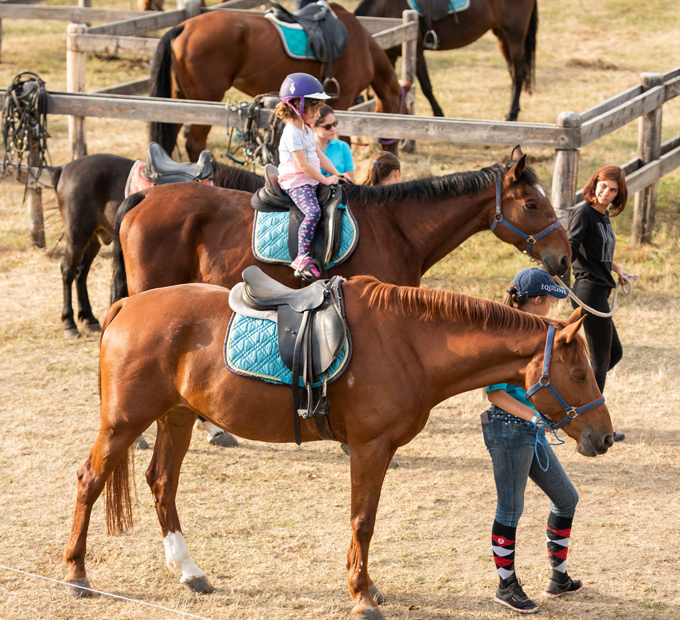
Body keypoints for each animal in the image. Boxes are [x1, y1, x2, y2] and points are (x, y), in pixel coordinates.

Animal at [50, 153, 263, 338]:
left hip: (94, 238)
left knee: (81, 272)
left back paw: (89, 318)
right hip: (78, 237)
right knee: (68, 271)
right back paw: (69, 322)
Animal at [63, 277, 613, 617]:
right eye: (579, 373)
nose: (605, 436)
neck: (410, 343)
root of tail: (128, 304)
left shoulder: (376, 450)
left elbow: (364, 522)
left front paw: (366, 586)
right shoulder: (370, 448)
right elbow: (362, 521)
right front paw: (362, 596)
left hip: (176, 417)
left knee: (162, 484)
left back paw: (189, 571)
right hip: (123, 424)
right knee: (90, 480)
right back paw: (76, 574)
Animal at [148, 4, 408, 160]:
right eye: (404, 111)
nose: (393, 153)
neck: (362, 45)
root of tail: (183, 26)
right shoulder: (341, 102)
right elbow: (340, 141)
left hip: (180, 99)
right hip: (204, 101)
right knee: (194, 143)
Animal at [355, 0, 537, 121]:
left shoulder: (417, 50)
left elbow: (426, 86)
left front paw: (438, 114)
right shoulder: (390, 56)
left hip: (515, 34)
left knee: (519, 72)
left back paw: (511, 115)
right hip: (501, 34)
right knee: (513, 71)